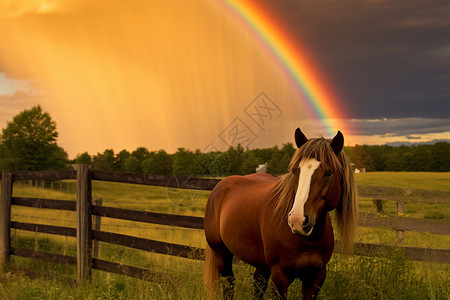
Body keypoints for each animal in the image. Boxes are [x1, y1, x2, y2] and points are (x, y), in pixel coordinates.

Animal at [204, 127, 358, 298]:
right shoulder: (279, 277)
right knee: (229, 284)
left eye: (328, 173)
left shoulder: (316, 278)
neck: (307, 240)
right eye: (294, 170)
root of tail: (221, 186)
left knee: (258, 284)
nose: (297, 221)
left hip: (261, 264)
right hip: (221, 253)